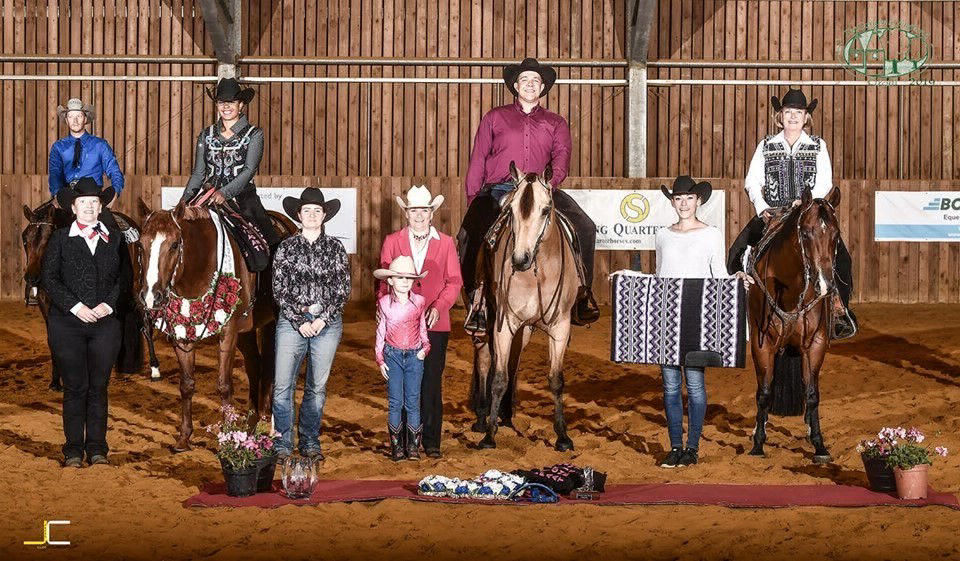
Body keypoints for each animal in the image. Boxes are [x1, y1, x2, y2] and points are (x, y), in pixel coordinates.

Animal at [20, 199, 160, 388]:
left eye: (48, 239)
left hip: (136, 291)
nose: (32, 278)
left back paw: (154, 369)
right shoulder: (46, 302)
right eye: (25, 238)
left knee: (145, 325)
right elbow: (54, 339)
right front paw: (56, 381)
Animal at [135, 201, 292, 450]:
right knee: (255, 364)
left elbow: (224, 385)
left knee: (271, 364)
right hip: (247, 330)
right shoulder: (181, 334)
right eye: (140, 245)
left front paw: (227, 436)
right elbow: (187, 384)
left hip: (273, 323)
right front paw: (184, 437)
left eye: (175, 244)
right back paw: (252, 419)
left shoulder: (228, 333)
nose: (151, 296)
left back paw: (267, 418)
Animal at [470, 162, 576, 450]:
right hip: (486, 323)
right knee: (485, 359)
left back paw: (507, 415)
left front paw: (563, 437)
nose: (520, 259)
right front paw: (489, 435)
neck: (537, 272)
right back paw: (483, 417)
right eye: (511, 210)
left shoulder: (560, 327)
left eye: (545, 209)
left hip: (526, 330)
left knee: (514, 363)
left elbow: (556, 380)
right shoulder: (504, 325)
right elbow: (498, 378)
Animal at [748, 186, 844, 462]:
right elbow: (764, 392)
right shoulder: (762, 344)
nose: (825, 284)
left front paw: (819, 445)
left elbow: (812, 394)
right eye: (806, 232)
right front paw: (758, 443)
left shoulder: (815, 344)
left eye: (836, 234)